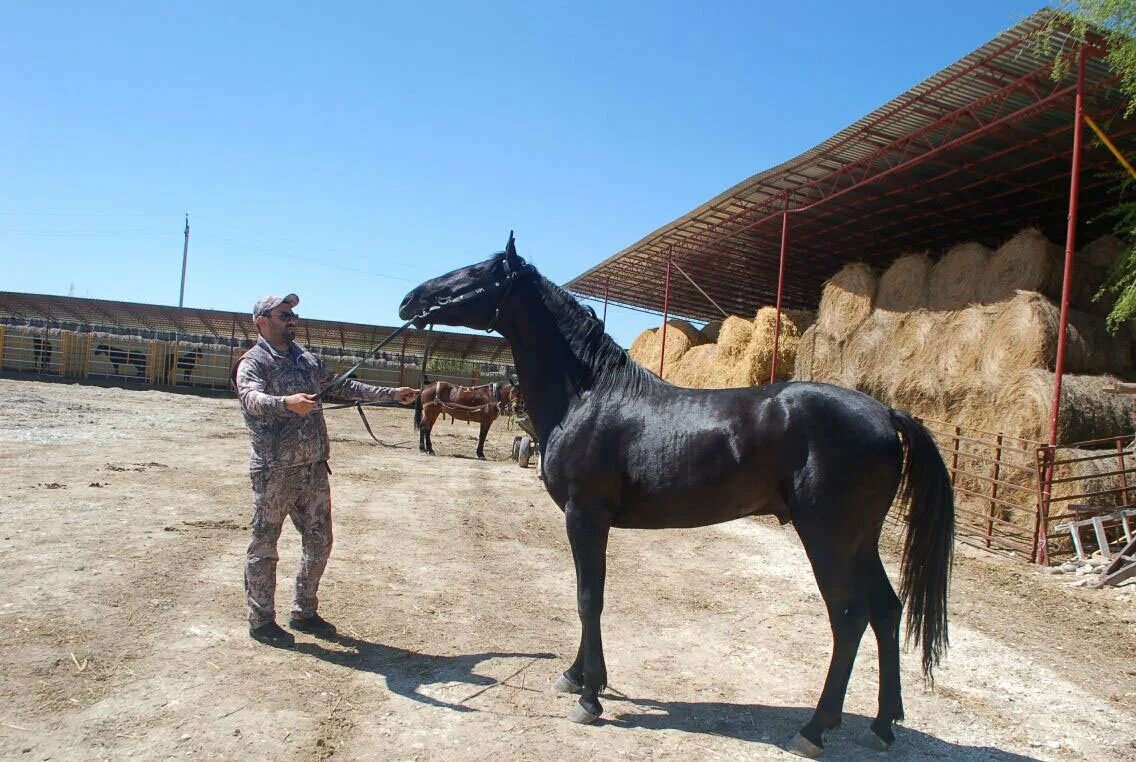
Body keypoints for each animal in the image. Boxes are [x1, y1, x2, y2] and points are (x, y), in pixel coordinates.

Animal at [404, 237, 954, 758]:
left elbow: (588, 599)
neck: (589, 396)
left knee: (850, 619)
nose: (411, 299)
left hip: (829, 540)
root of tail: (885, 412)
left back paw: (814, 729)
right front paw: (576, 677)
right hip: (861, 543)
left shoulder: (585, 518)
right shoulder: (586, 522)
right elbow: (585, 594)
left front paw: (590, 697)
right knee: (886, 611)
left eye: (479, 272)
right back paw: (883, 725)